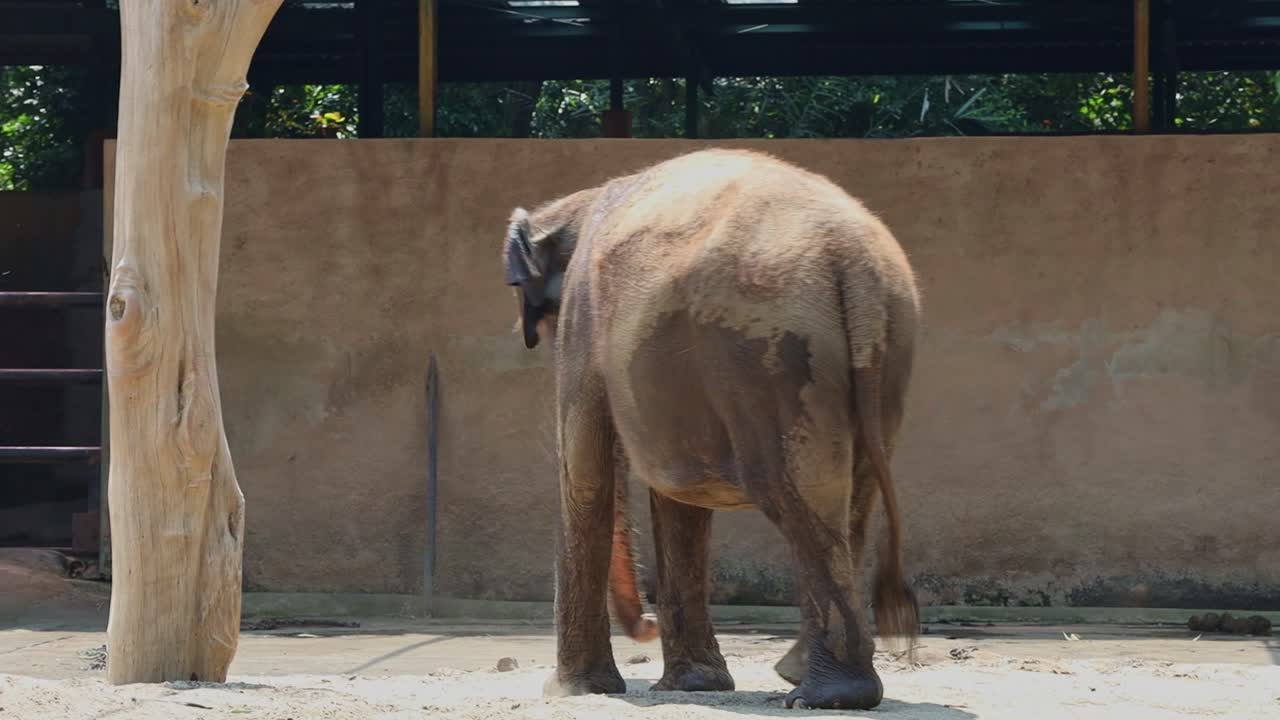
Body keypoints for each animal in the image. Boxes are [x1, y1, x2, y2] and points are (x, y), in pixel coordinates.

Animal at [501, 148, 921, 711]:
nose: (647, 625)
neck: (577, 203)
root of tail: (852, 262)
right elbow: (679, 501)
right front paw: (696, 685)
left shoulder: (582, 324)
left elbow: (587, 472)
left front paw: (570, 691)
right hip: (886, 348)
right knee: (852, 496)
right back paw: (803, 677)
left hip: (770, 348)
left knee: (793, 494)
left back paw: (820, 694)